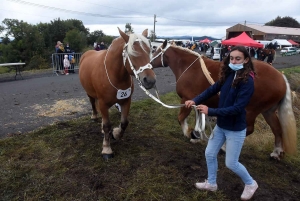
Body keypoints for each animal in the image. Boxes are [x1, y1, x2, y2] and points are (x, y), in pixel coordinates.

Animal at [78, 27, 156, 159]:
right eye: (132, 54)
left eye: (149, 50)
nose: (150, 80)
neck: (115, 75)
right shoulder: (103, 103)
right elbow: (107, 125)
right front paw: (107, 148)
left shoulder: (126, 101)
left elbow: (124, 122)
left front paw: (115, 134)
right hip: (89, 93)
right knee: (93, 103)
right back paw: (94, 116)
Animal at [151, 40, 296, 159]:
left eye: (155, 51)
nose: (149, 64)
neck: (188, 67)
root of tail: (280, 76)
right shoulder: (198, 102)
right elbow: (199, 120)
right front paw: (197, 136)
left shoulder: (187, 100)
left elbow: (181, 118)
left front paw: (188, 133)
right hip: (268, 111)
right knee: (277, 129)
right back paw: (276, 152)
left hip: (250, 111)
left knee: (248, 129)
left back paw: (224, 147)